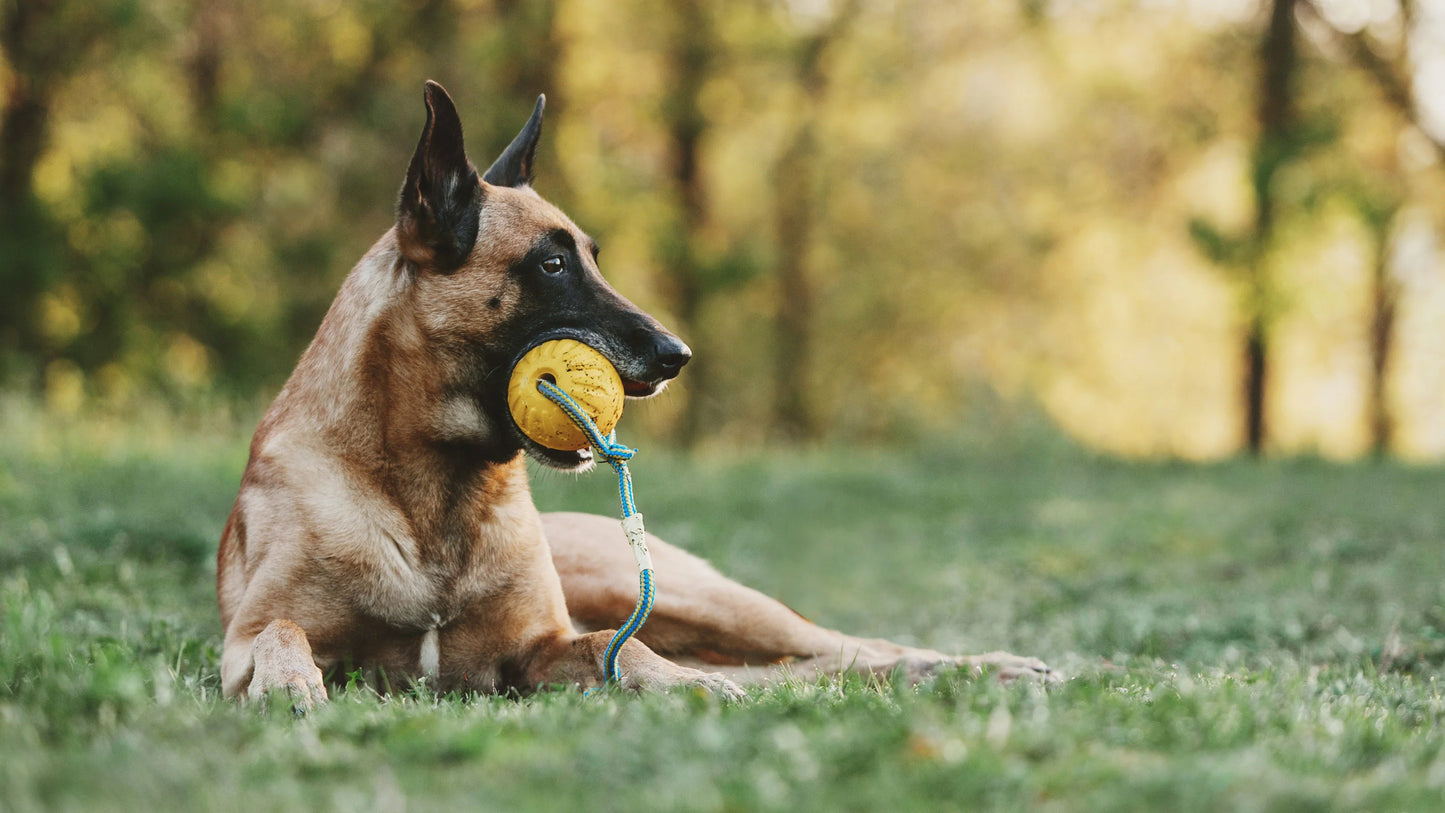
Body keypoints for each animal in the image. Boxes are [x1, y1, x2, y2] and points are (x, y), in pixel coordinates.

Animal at [216, 79, 1051, 710]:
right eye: (552, 264)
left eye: (590, 255)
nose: (678, 355)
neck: (433, 492)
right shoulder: (247, 636)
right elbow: (278, 633)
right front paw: (288, 684)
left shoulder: (541, 647)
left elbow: (616, 644)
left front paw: (680, 684)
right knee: (804, 666)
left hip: (697, 596)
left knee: (847, 643)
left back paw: (991, 665)